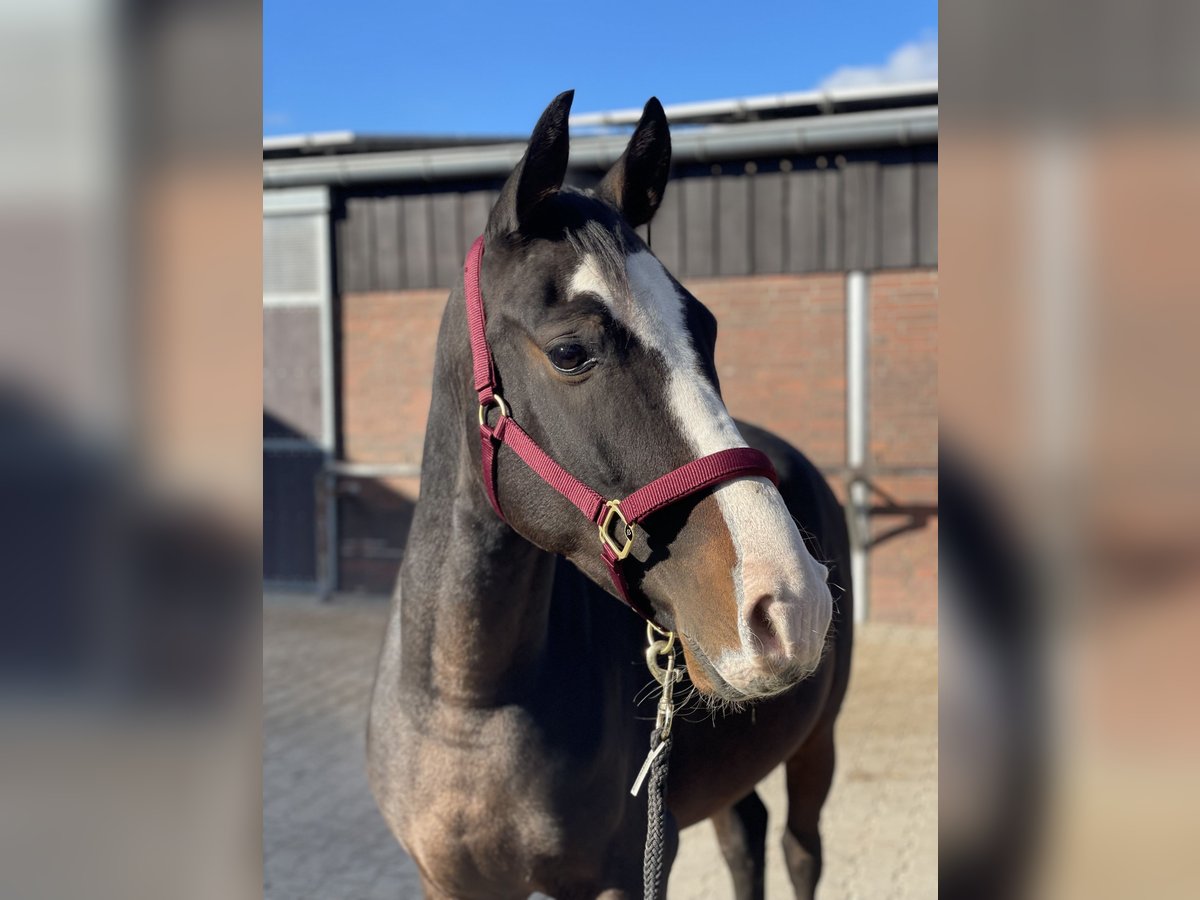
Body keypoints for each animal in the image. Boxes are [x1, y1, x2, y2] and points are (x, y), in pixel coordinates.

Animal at [364, 91, 854, 900]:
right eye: (570, 352)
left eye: (706, 327)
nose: (789, 604)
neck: (470, 699)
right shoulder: (451, 882)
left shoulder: (621, 873)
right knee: (745, 836)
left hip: (818, 741)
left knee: (800, 849)